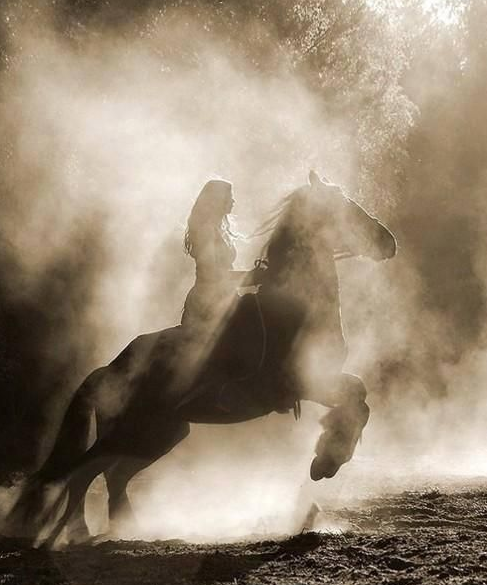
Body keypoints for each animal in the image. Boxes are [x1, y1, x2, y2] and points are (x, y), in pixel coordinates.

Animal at [4, 170, 396, 548]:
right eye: (344, 207)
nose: (388, 241)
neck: (294, 304)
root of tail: (109, 368)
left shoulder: (322, 380)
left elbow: (360, 398)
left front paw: (327, 458)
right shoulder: (303, 382)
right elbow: (357, 400)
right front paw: (325, 461)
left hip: (159, 435)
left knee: (109, 476)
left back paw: (124, 530)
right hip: (134, 433)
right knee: (82, 472)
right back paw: (72, 535)